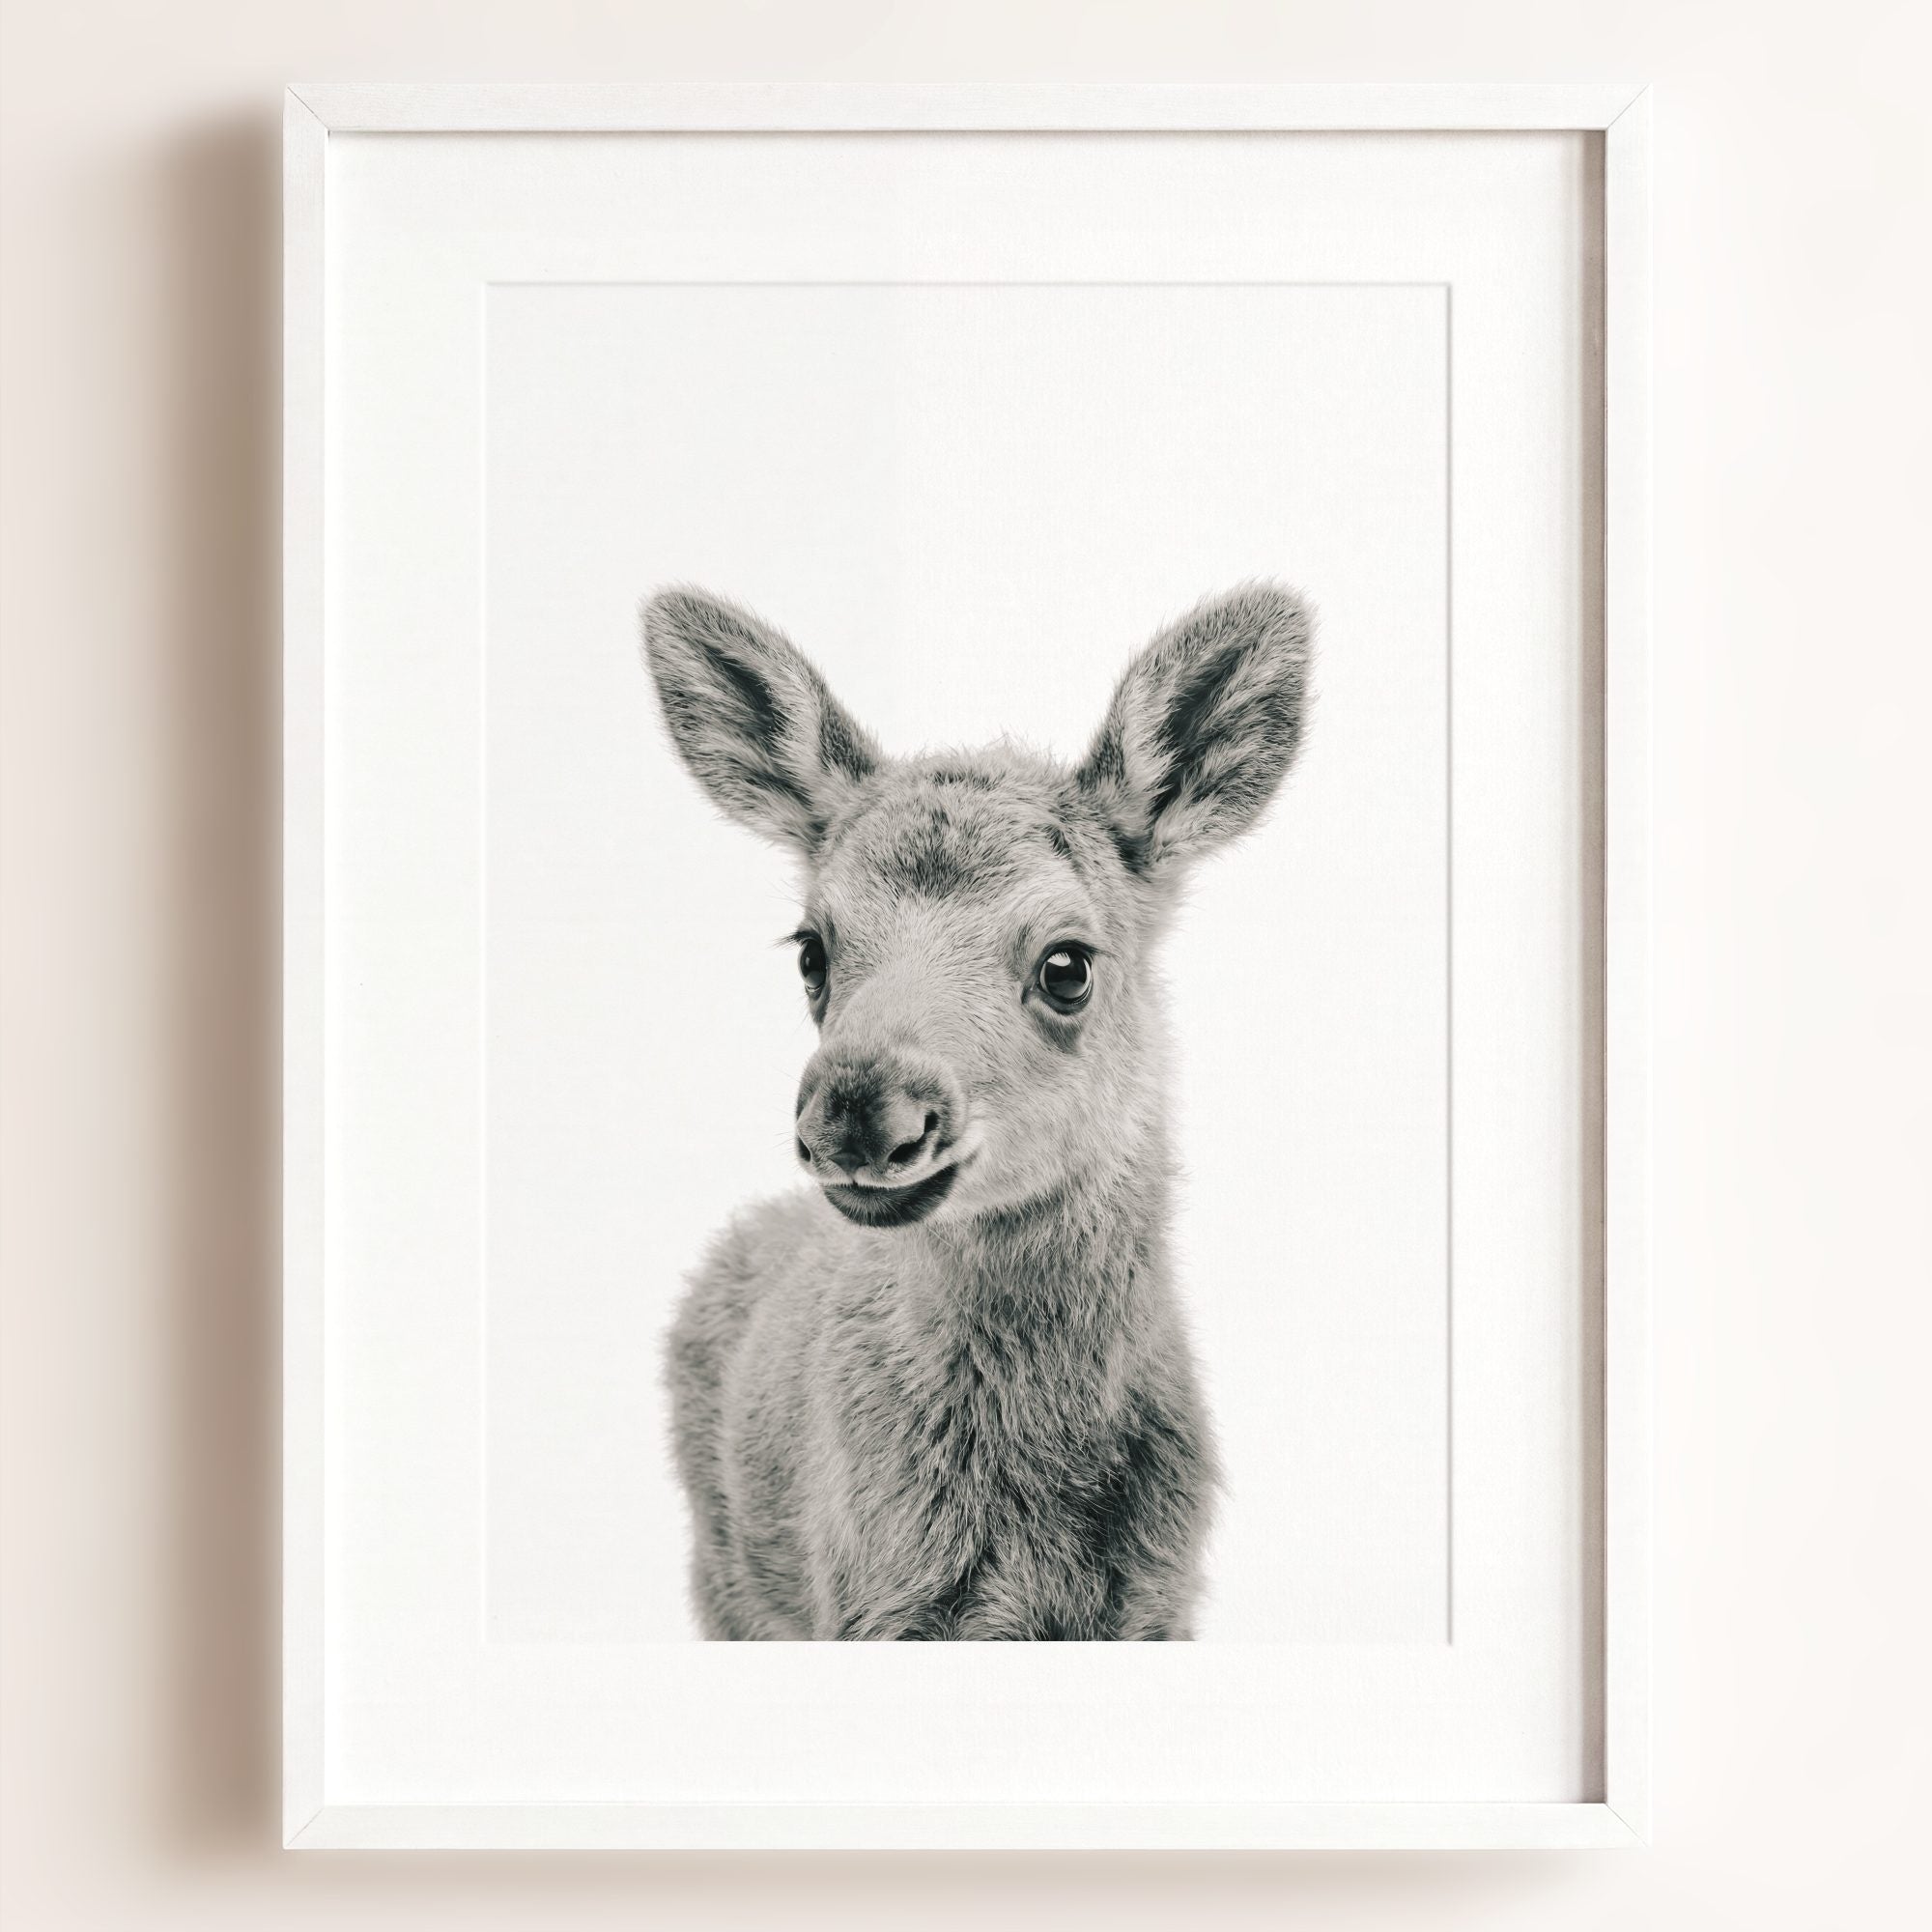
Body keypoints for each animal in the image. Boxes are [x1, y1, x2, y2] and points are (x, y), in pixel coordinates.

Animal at [642, 582, 1313, 1640]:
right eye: (812, 950)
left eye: (1068, 964)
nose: (858, 1109)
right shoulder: (869, 1602)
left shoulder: (1159, 1601)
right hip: (726, 1578)